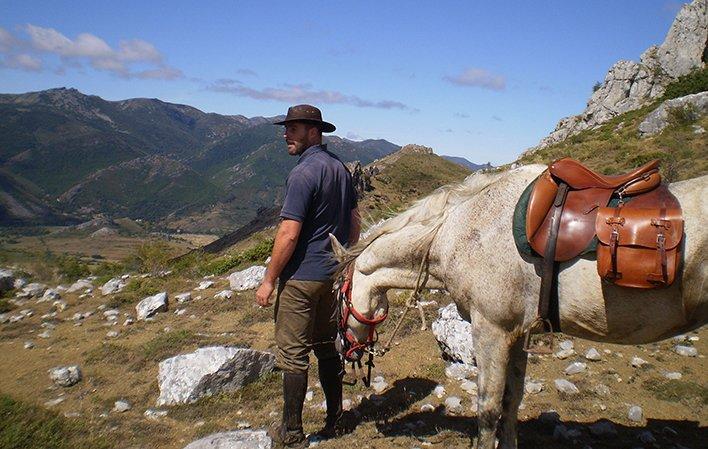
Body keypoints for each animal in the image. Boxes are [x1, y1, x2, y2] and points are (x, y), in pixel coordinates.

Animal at [332, 164, 708, 448]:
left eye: (336, 296)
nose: (343, 347)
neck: (460, 232)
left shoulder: (491, 332)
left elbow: (488, 410)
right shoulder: (518, 334)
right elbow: (512, 401)